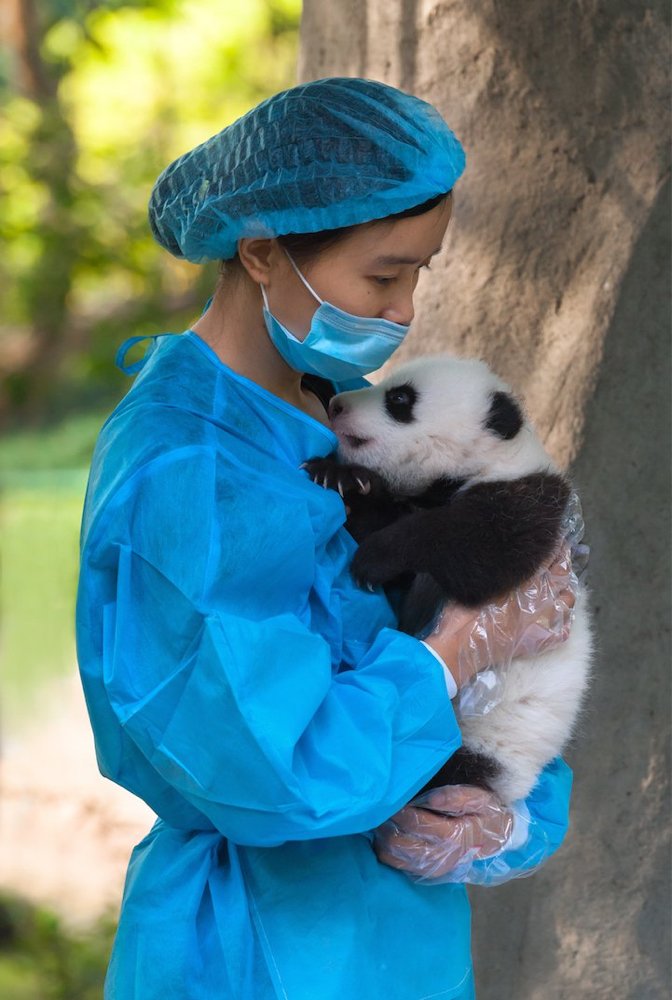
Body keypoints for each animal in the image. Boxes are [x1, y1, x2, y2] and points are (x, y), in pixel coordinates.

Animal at [305, 355, 593, 805]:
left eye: (400, 399)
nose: (336, 404)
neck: (489, 460)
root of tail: (514, 784)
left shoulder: (533, 508)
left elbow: (478, 551)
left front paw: (374, 558)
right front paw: (343, 479)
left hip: (492, 741)